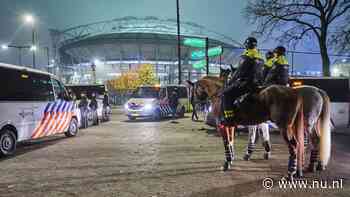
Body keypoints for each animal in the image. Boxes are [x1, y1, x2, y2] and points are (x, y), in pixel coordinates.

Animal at [187, 76, 330, 179]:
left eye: (192, 90)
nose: (192, 103)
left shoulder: (222, 126)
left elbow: (228, 143)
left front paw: (227, 163)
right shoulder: (232, 125)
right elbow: (234, 141)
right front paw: (234, 158)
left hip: (291, 126)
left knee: (298, 144)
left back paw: (293, 172)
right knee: (310, 141)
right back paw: (312, 166)